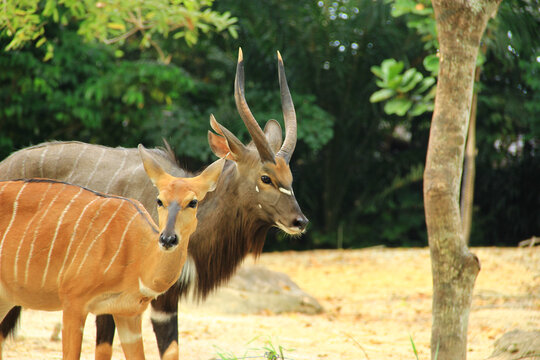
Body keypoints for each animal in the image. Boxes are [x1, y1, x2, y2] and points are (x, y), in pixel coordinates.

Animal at [0, 146, 224, 360]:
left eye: (193, 202)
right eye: (159, 200)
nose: (168, 239)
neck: (137, 255)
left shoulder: (128, 315)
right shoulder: (73, 302)